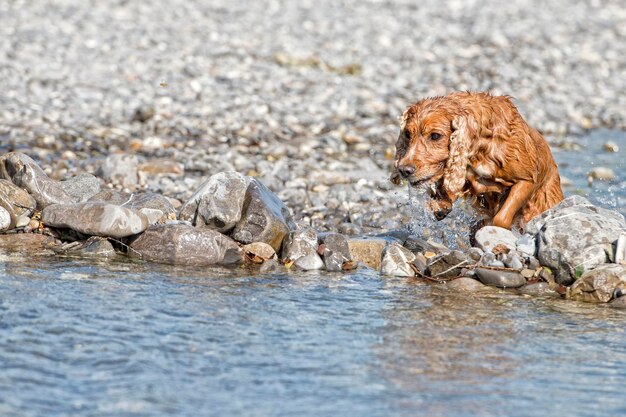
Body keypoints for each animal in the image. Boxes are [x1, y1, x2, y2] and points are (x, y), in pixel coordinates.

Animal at [390, 90, 560, 231]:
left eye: (435, 136)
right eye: (407, 134)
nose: (404, 170)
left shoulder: (527, 179)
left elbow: (501, 217)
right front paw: (440, 205)